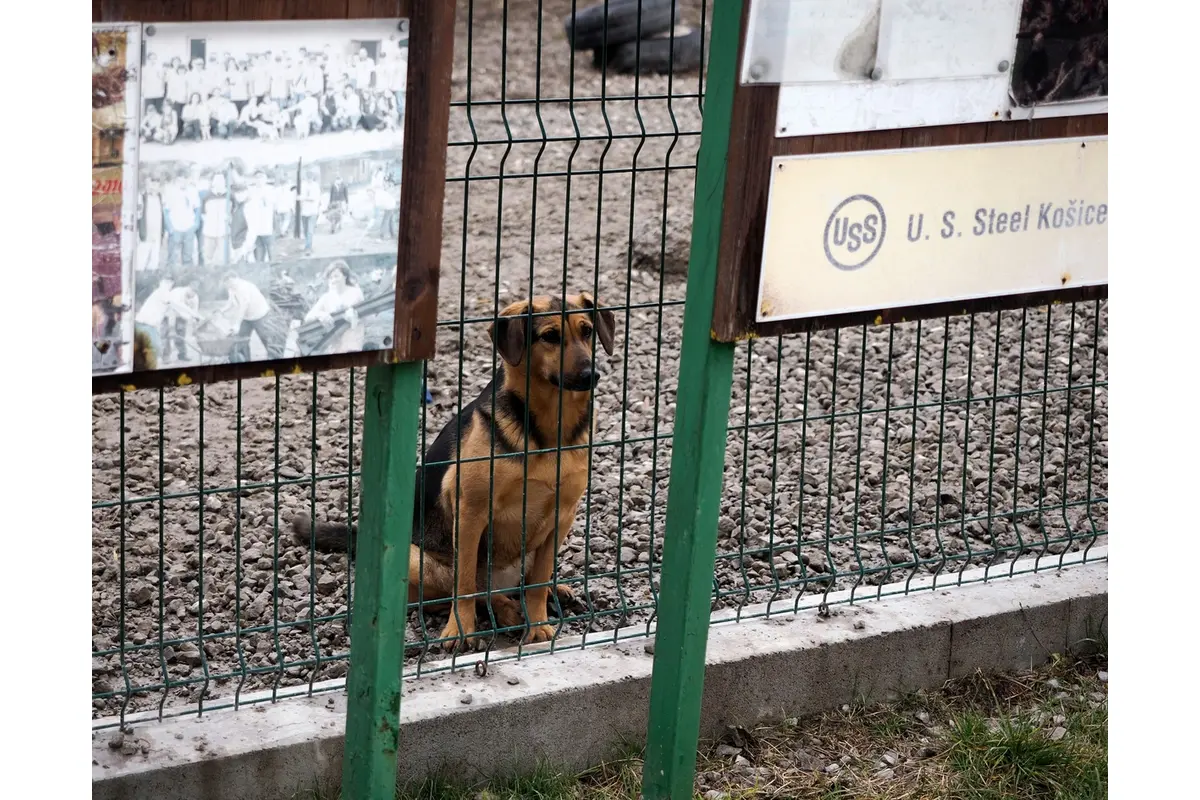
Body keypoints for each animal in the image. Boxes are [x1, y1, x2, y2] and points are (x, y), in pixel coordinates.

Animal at [292, 293, 619, 652]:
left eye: (587, 331)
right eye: (549, 336)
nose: (591, 374)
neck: (548, 429)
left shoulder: (563, 515)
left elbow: (537, 580)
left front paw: (539, 626)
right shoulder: (470, 510)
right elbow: (465, 586)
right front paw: (460, 631)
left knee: (528, 579)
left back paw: (551, 591)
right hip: (414, 559)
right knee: (468, 590)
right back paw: (506, 611)